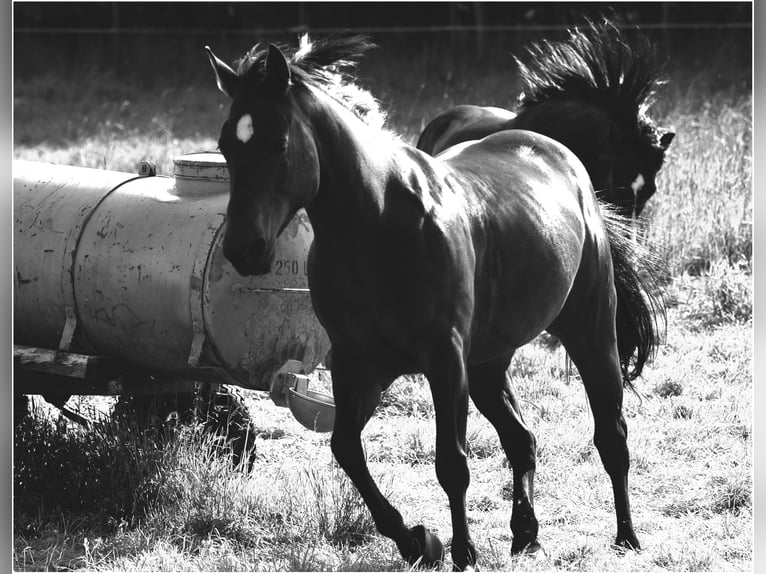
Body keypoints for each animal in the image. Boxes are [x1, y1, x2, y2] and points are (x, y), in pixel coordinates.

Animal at [208, 36, 664, 572]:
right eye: (226, 146)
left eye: (278, 143)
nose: (243, 249)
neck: (377, 225)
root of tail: (568, 165)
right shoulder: (360, 365)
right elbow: (347, 450)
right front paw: (416, 540)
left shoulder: (444, 362)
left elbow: (452, 463)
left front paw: (462, 552)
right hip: (487, 364)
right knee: (522, 439)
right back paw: (526, 534)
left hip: (590, 334)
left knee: (611, 434)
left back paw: (627, 537)